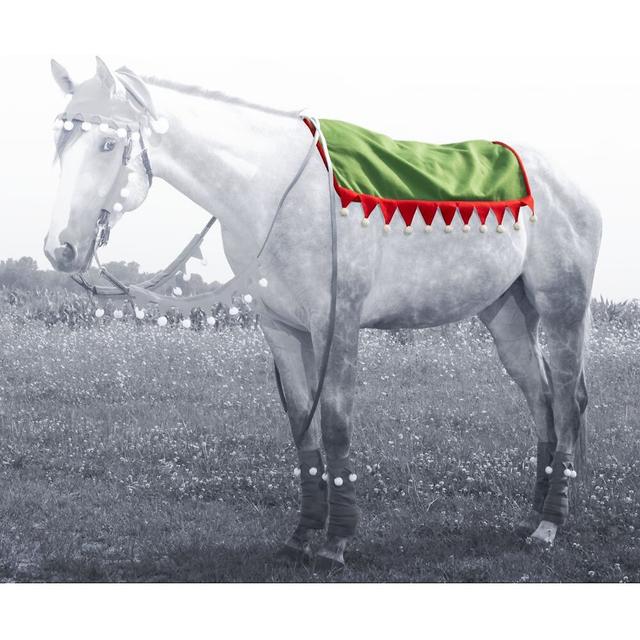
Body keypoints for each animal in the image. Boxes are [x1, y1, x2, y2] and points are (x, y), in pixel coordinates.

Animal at [45, 58, 602, 570]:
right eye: (61, 141)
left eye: (108, 145)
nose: (60, 249)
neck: (274, 192)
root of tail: (572, 186)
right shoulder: (281, 328)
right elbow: (302, 427)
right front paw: (303, 534)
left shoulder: (338, 322)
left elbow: (334, 424)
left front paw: (336, 542)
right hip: (508, 318)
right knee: (543, 400)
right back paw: (532, 516)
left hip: (562, 309)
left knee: (567, 402)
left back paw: (549, 525)